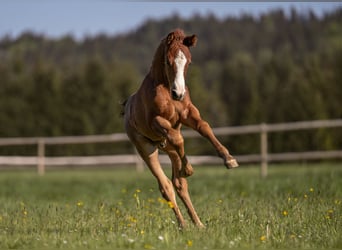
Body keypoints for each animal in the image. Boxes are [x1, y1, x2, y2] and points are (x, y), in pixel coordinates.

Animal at [123, 29, 238, 229]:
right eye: (169, 61)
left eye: (188, 62)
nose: (179, 93)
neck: (164, 87)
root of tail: (127, 106)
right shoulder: (156, 121)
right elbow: (178, 139)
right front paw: (189, 168)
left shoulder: (187, 113)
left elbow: (204, 127)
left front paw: (228, 159)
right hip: (147, 149)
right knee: (166, 186)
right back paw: (183, 225)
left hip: (169, 150)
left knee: (179, 184)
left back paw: (198, 223)